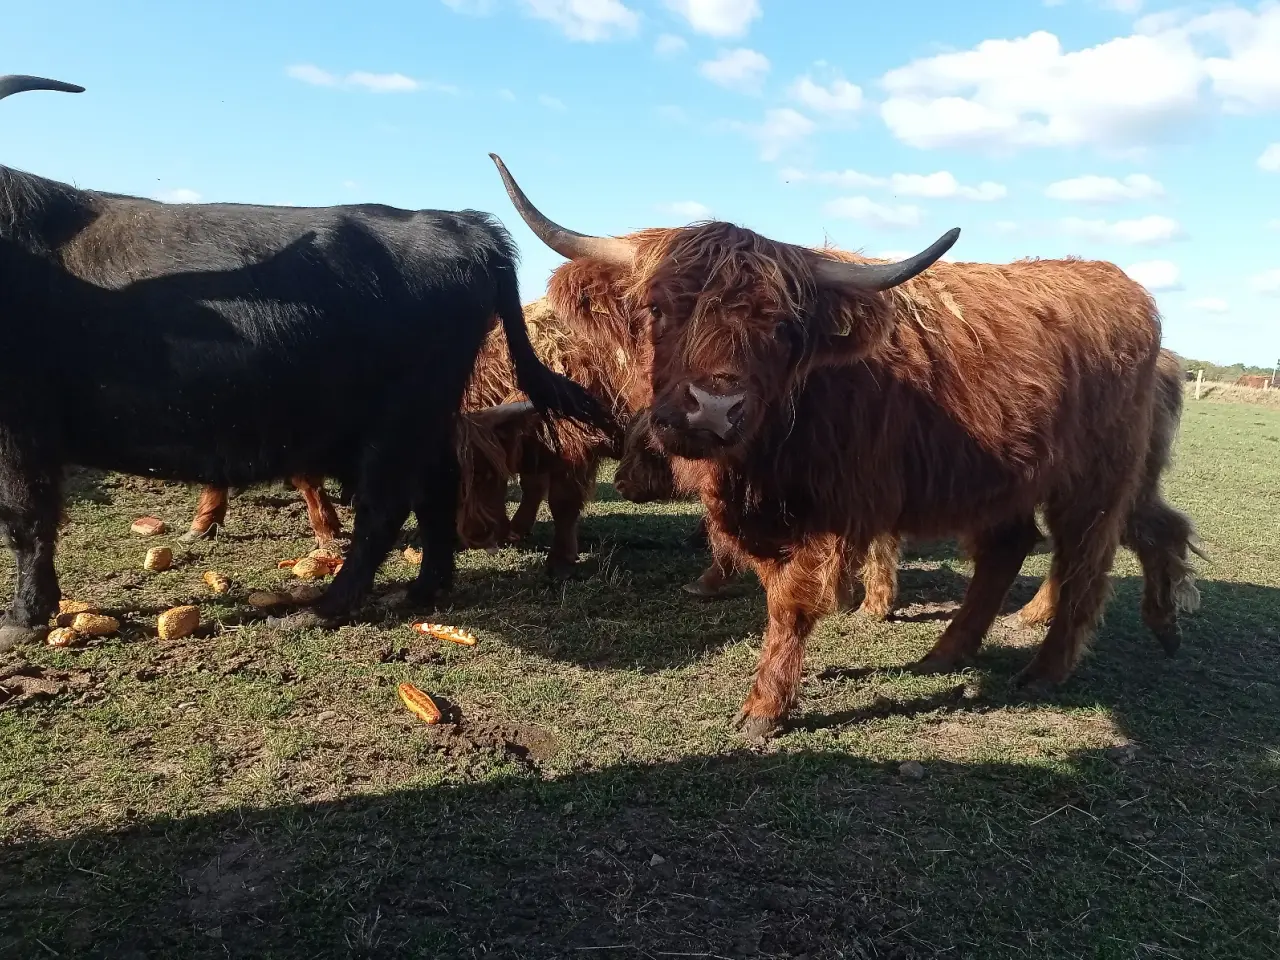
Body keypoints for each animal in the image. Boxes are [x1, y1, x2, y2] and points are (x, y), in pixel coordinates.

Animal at [0, 76, 612, 653]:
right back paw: (422, 589)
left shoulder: (22, 430)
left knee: (386, 506)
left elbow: (27, 516)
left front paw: (24, 618)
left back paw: (329, 606)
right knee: (436, 486)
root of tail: (462, 224)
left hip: (398, 419)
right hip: (423, 417)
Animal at [489, 153, 1203, 738]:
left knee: (1085, 560)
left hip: (1095, 479)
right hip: (1004, 478)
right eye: (659, 308)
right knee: (1019, 546)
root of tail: (1118, 284)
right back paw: (954, 652)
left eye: (781, 328)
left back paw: (1049, 668)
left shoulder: (828, 509)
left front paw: (765, 708)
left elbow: (791, 602)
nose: (714, 407)